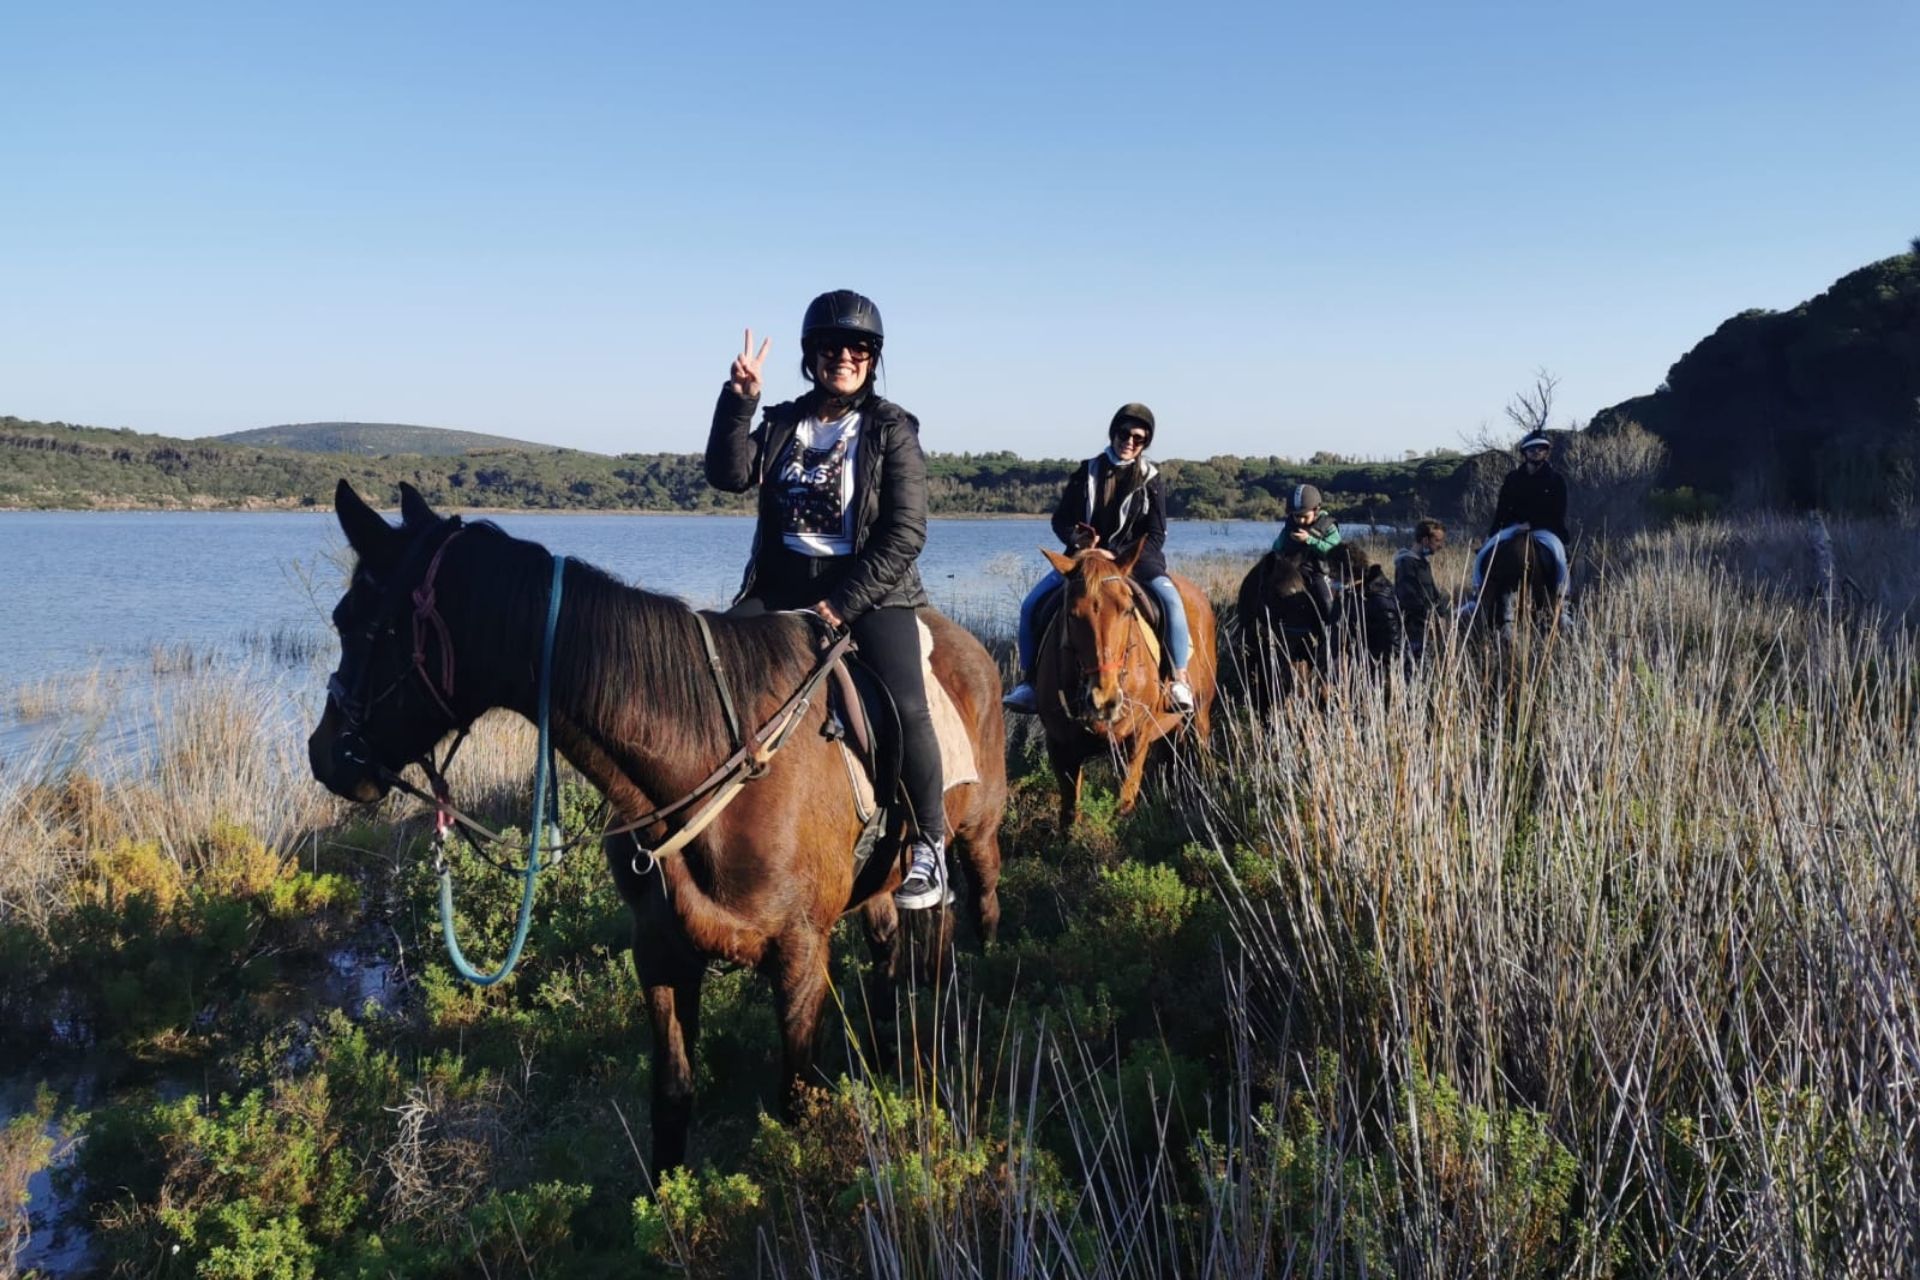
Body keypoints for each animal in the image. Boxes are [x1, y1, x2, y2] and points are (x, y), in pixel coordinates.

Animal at [307, 481, 1007, 1171]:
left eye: (354, 623)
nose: (325, 755)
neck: (709, 765)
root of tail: (969, 645)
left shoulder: (801, 954)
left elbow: (794, 1101)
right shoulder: (660, 953)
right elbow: (671, 1100)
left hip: (974, 835)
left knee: (975, 909)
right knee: (889, 950)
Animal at [1032, 541, 1217, 829]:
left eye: (1128, 610)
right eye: (1072, 615)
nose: (1105, 699)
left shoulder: (1136, 739)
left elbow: (1124, 803)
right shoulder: (1060, 745)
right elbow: (1070, 814)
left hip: (1200, 711)